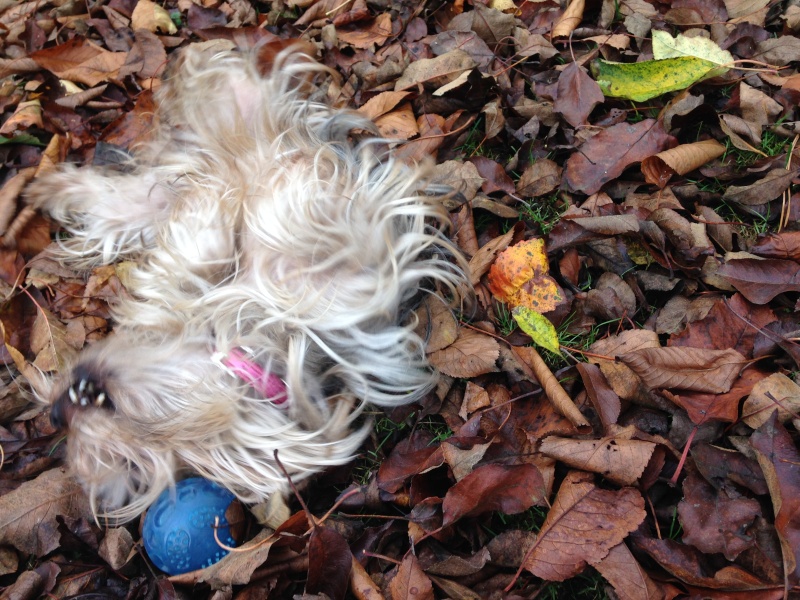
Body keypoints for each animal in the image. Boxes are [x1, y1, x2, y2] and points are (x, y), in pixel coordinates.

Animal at [26, 42, 468, 520]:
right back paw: (46, 186)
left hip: (231, 114)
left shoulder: (356, 247)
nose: (56, 414)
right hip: (148, 197)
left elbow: (236, 240)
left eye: (97, 401)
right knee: (120, 194)